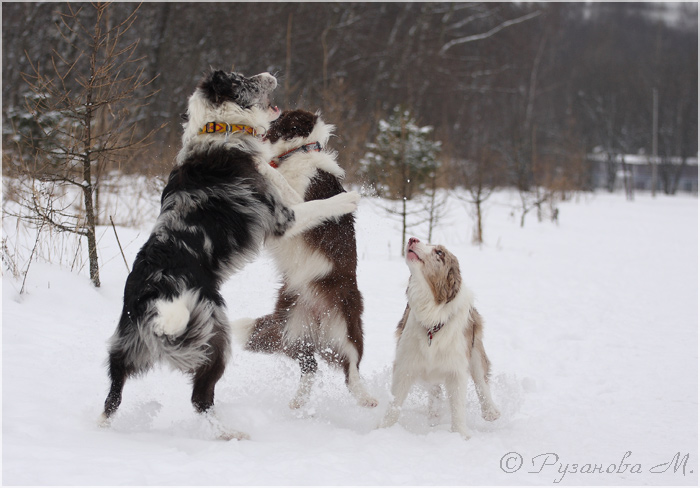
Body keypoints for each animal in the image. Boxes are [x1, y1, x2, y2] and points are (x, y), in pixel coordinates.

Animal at [232, 109, 378, 408]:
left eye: (277, 119)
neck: (297, 154)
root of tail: (319, 319)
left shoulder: (298, 204)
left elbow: (283, 184)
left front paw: (261, 165)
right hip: (294, 330)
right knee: (310, 367)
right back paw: (298, 403)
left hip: (348, 328)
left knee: (351, 371)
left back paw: (365, 398)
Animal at [380, 238, 500, 440]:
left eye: (439, 253)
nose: (412, 239)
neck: (432, 320)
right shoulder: (406, 364)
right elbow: (395, 402)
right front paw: (383, 429)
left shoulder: (457, 368)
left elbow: (458, 406)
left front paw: (461, 435)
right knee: (434, 388)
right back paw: (434, 413)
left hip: (475, 350)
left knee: (481, 380)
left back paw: (490, 411)